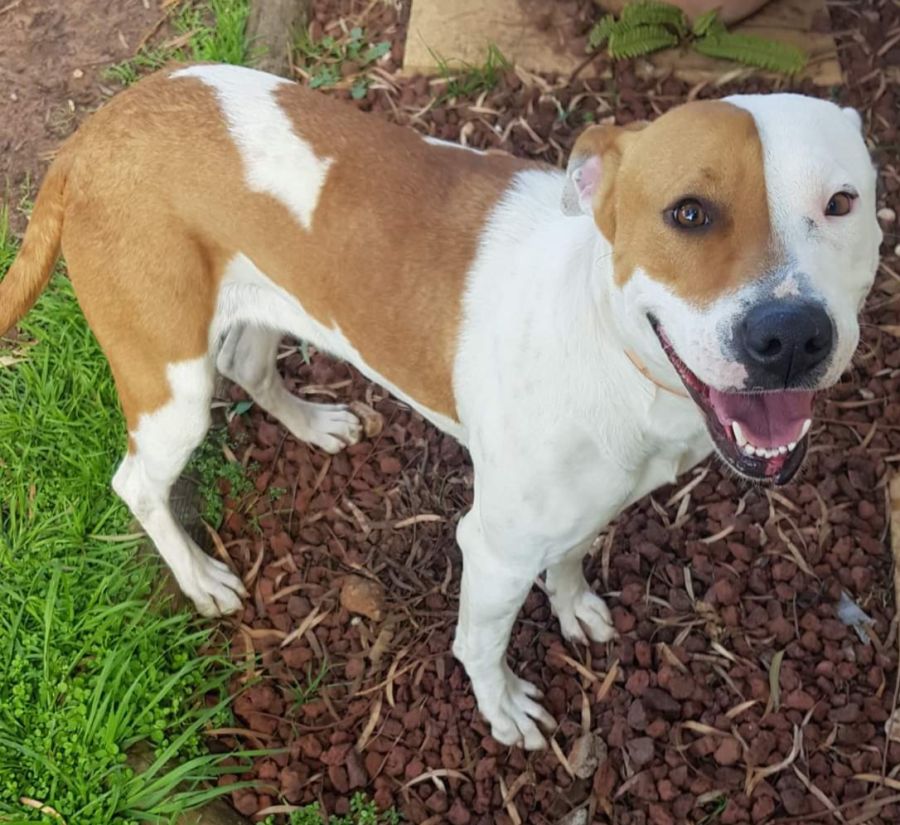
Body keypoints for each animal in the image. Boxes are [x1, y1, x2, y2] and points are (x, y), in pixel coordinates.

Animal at [3, 64, 884, 748]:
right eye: (689, 213)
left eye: (842, 203)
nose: (790, 335)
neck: (608, 339)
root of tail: (91, 133)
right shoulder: (491, 548)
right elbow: (481, 644)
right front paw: (504, 711)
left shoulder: (591, 503)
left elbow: (572, 556)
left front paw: (574, 606)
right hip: (171, 382)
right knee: (137, 482)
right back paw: (199, 579)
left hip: (268, 301)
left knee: (248, 360)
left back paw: (314, 423)